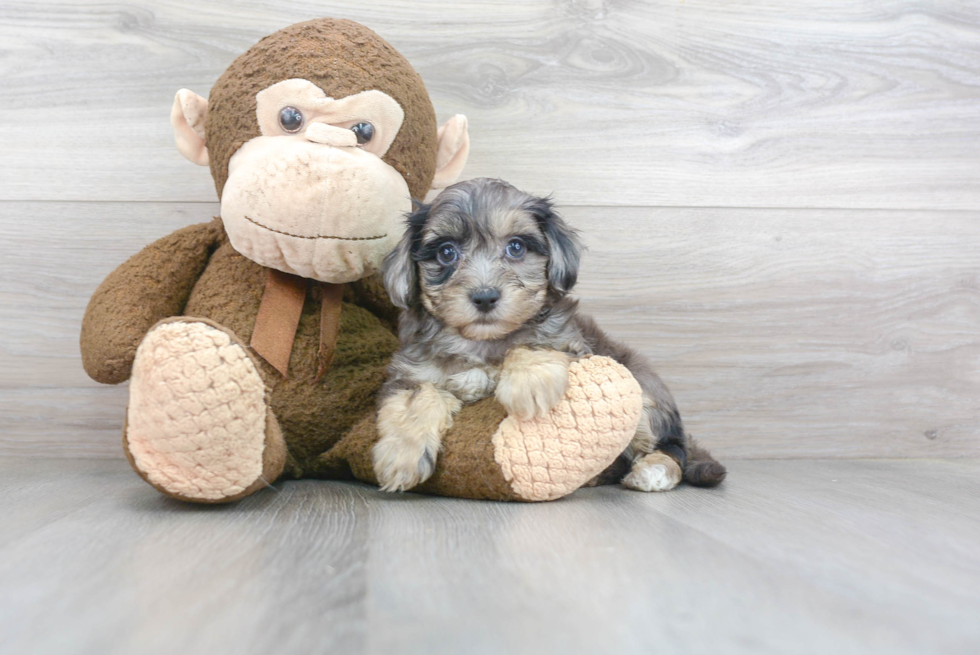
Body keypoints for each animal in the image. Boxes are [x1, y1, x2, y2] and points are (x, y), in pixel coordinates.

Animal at [372, 178, 724, 492]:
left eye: (516, 247)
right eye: (446, 253)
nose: (485, 297)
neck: (483, 343)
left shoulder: (574, 347)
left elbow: (529, 344)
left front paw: (530, 384)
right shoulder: (411, 373)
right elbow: (418, 397)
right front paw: (402, 457)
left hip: (641, 390)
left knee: (668, 448)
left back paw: (652, 471)